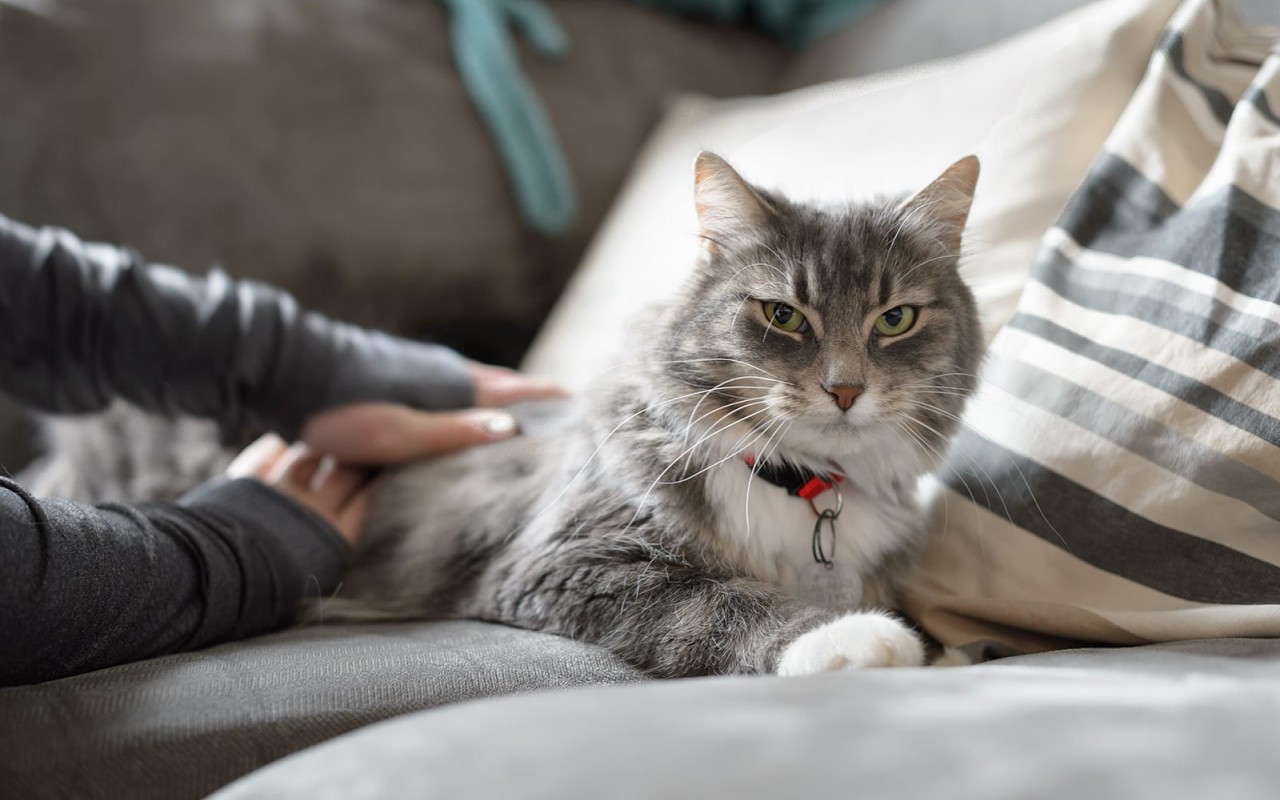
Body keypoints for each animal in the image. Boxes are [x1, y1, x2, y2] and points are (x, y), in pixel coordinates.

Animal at [320, 151, 977, 675]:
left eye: (895, 319)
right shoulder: (571, 560)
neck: (797, 480)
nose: (844, 390)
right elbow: (717, 603)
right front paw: (848, 637)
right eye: (783, 315)